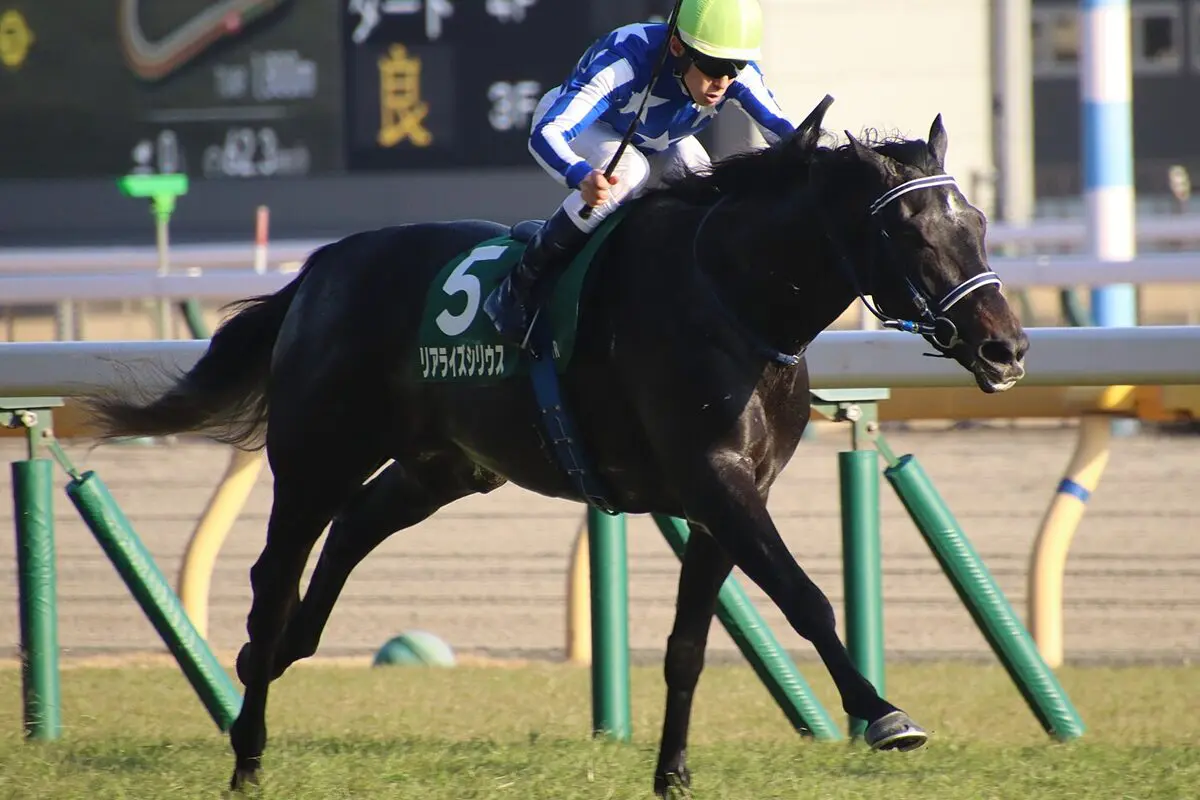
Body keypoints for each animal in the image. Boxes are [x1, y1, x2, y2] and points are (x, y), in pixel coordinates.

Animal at [83, 95, 1029, 796]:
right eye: (910, 232)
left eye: (979, 222)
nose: (1006, 349)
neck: (730, 297)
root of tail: (319, 269)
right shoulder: (715, 480)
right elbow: (805, 599)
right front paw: (882, 712)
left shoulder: (728, 496)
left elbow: (688, 647)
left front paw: (672, 775)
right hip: (317, 455)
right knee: (274, 577)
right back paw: (248, 747)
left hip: (444, 466)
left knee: (350, 533)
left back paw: (277, 657)